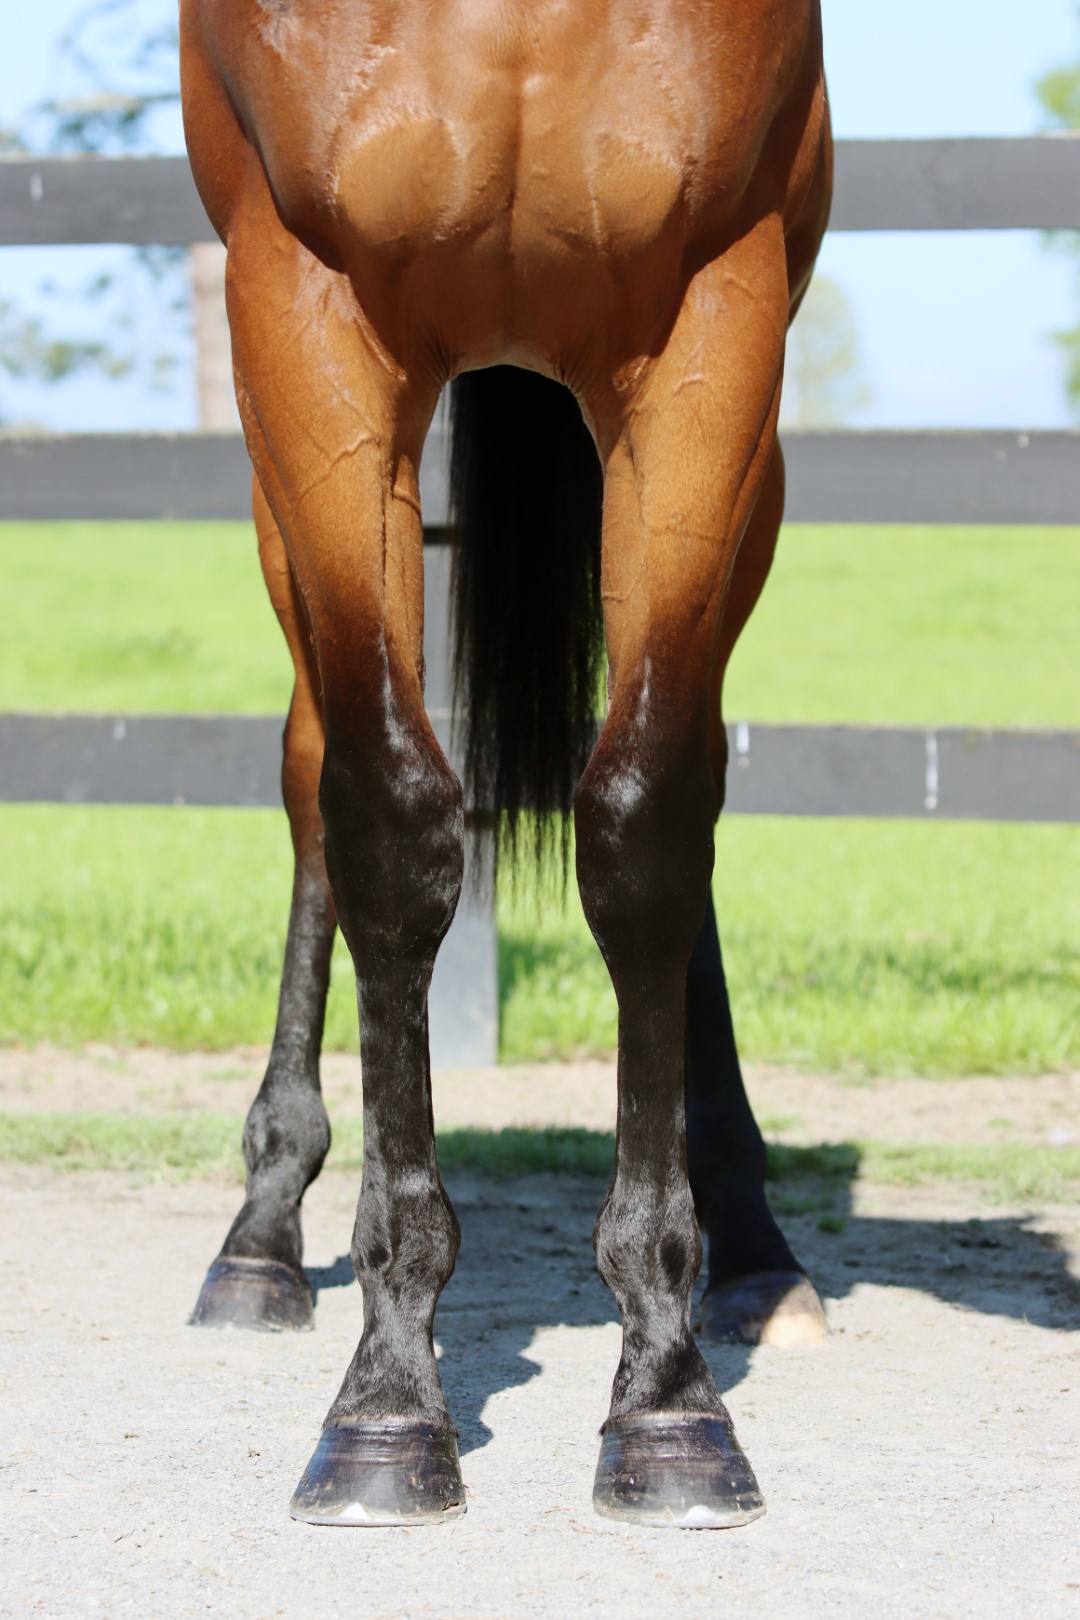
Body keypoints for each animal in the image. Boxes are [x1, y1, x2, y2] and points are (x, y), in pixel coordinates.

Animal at [180, 0, 832, 1529]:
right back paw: (260, 1232)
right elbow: (385, 819)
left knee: (691, 785)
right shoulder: (307, 317)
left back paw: (754, 1236)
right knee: (311, 772)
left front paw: (669, 1398)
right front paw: (385, 1401)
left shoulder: (714, 324)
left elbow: (646, 821)